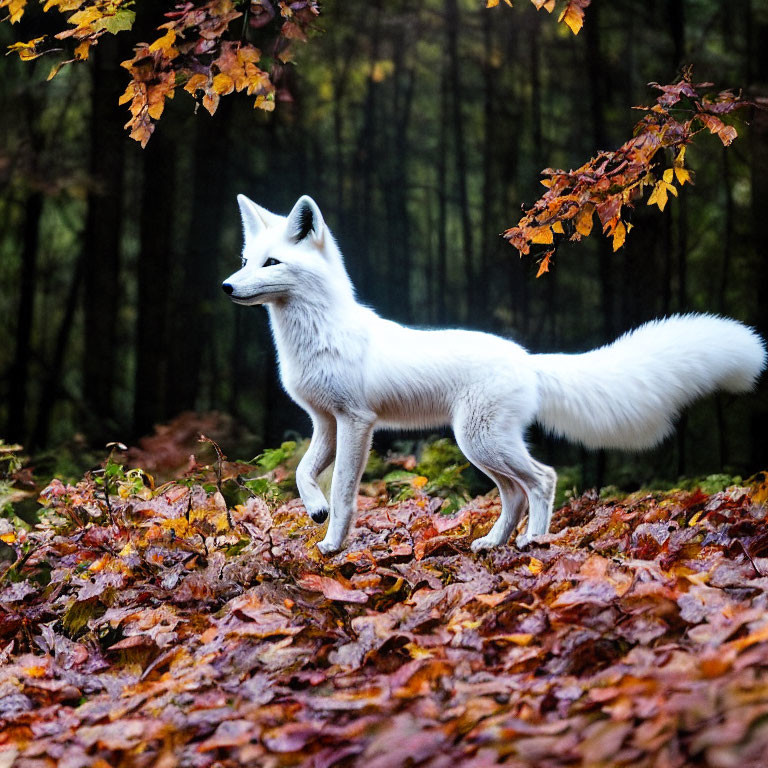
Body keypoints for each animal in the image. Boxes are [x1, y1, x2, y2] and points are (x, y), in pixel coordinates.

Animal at [222, 195, 768, 556]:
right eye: (247, 260)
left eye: (272, 262)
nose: (226, 287)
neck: (319, 334)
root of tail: (528, 358)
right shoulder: (325, 422)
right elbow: (302, 473)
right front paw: (315, 512)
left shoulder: (357, 422)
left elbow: (342, 491)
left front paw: (333, 543)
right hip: (482, 447)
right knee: (516, 493)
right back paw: (493, 541)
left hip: (480, 442)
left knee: (544, 480)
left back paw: (534, 542)